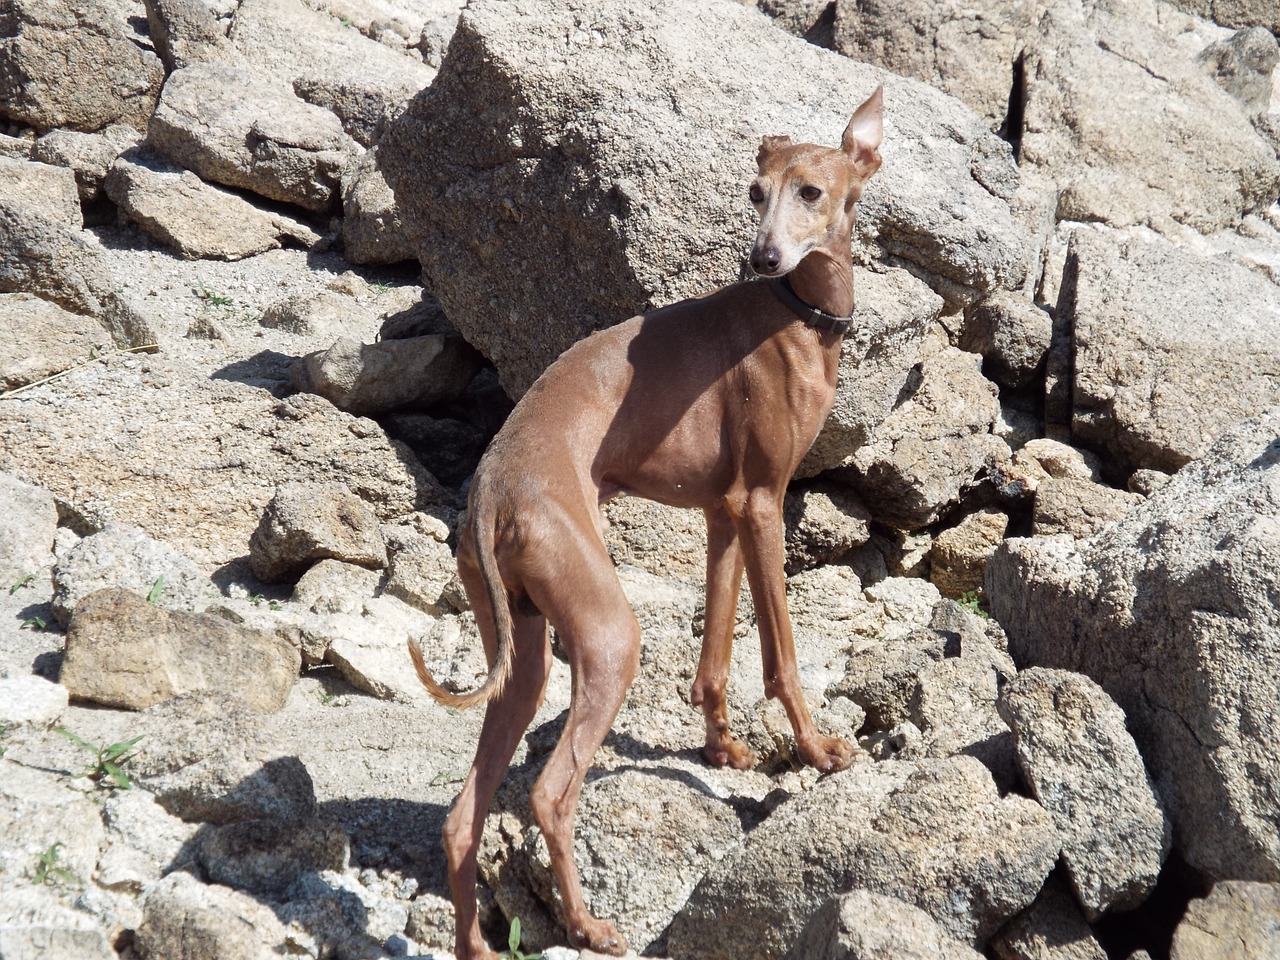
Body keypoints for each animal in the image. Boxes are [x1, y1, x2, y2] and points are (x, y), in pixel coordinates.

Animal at [409, 90, 880, 960]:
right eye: (756, 193)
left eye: (812, 192)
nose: (762, 257)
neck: (793, 313)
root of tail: (490, 490)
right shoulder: (765, 503)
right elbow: (781, 658)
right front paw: (819, 750)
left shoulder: (724, 513)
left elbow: (716, 654)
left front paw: (722, 748)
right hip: (608, 636)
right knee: (550, 793)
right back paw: (588, 925)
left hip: (524, 655)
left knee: (461, 817)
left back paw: (478, 945)